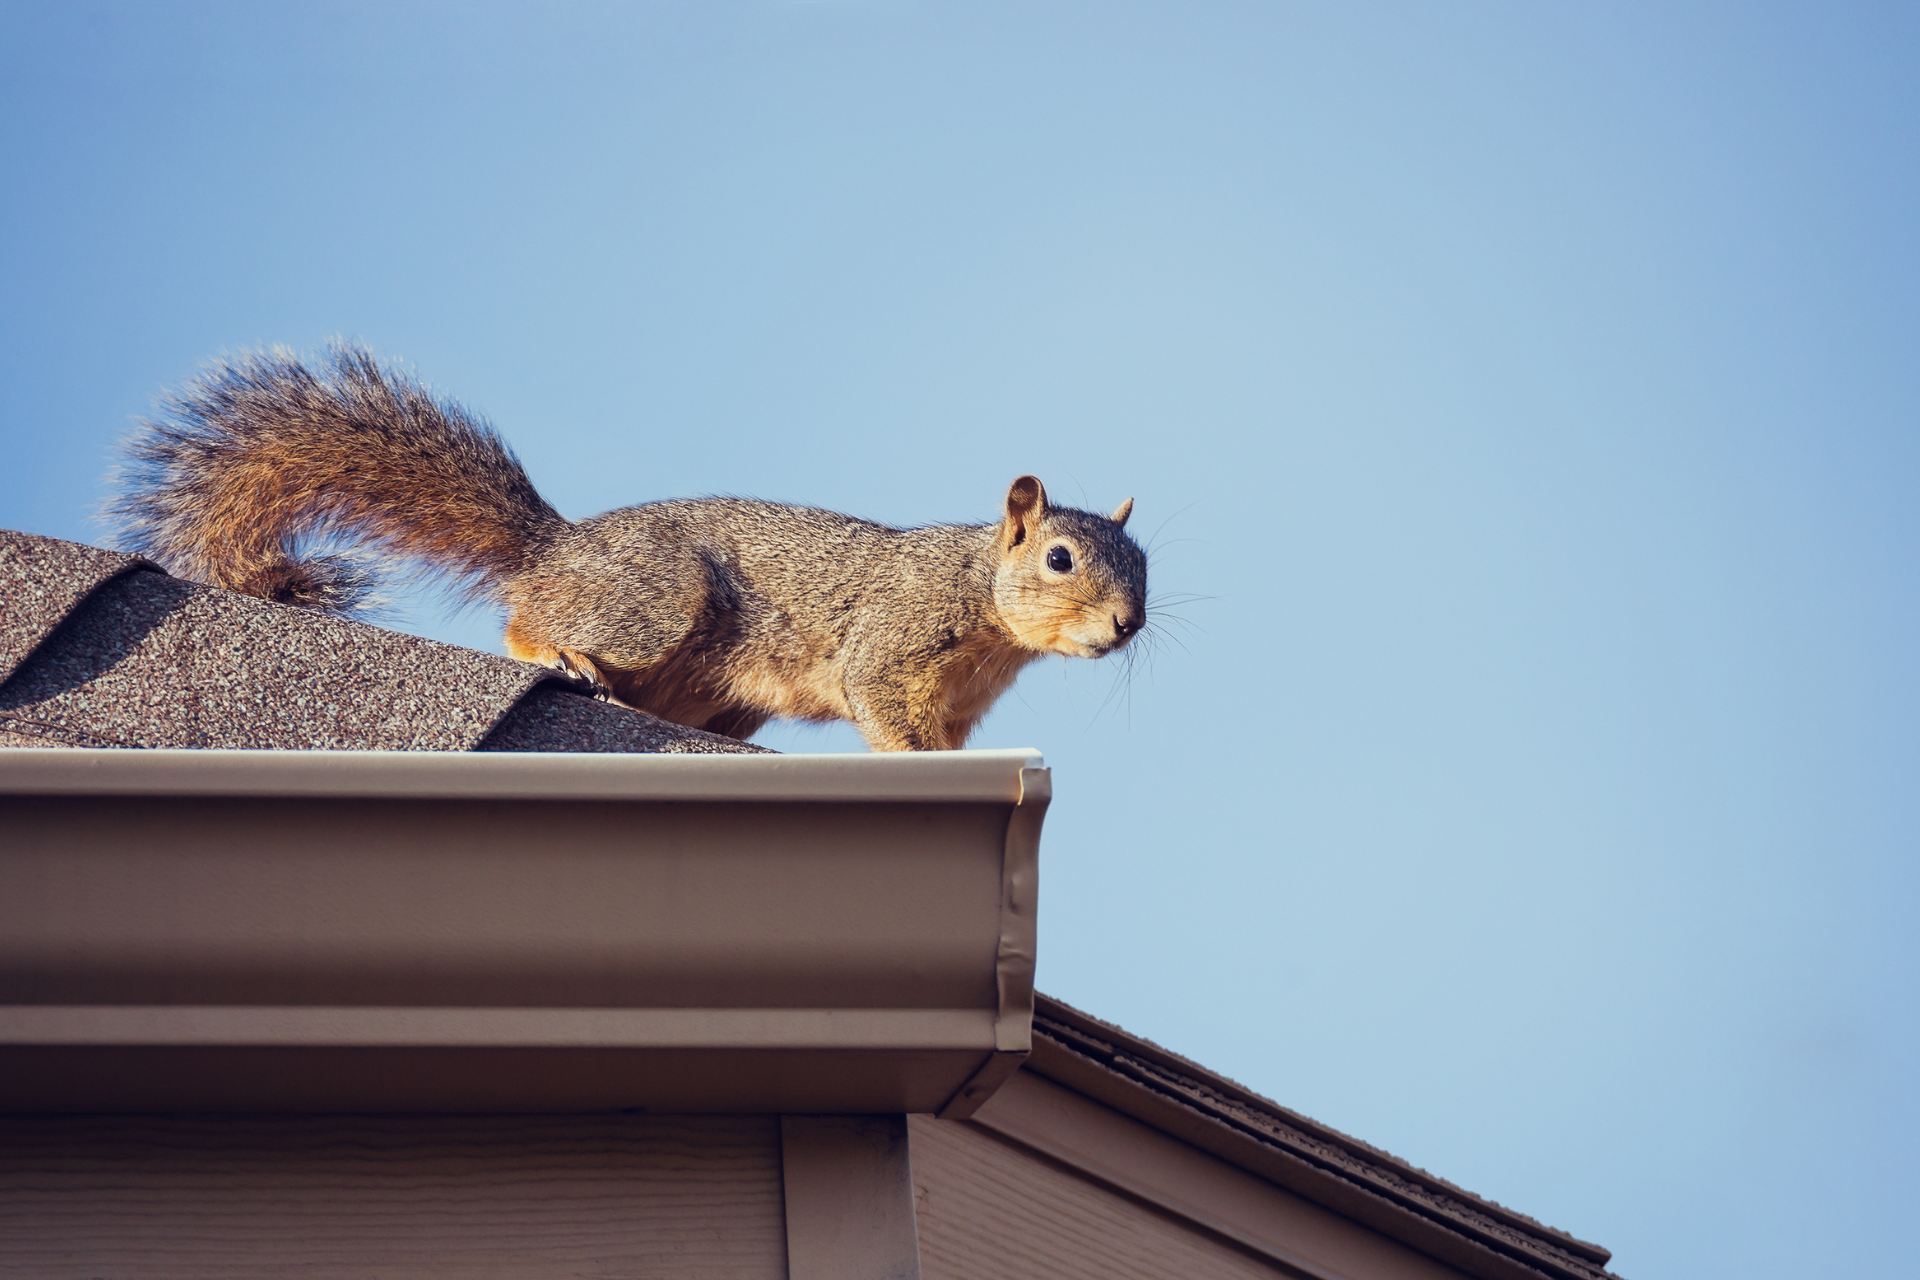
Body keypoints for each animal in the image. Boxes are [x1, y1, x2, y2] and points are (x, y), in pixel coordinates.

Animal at [105, 345, 1144, 756]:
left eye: (1145, 570)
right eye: (1059, 559)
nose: (1129, 625)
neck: (984, 607)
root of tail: (558, 547)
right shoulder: (891, 642)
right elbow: (882, 706)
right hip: (654, 603)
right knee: (525, 620)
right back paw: (560, 653)